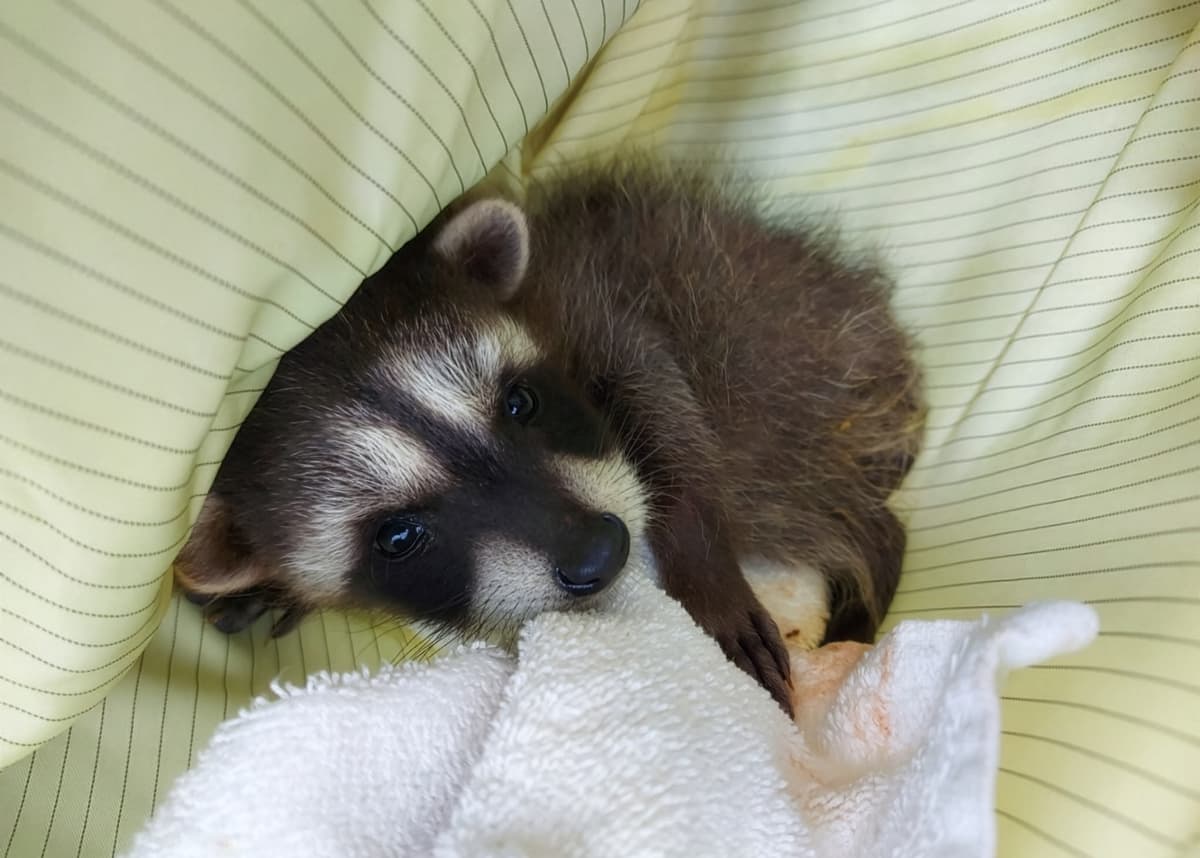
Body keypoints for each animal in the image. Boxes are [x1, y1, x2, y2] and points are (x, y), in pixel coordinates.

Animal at [176, 161, 924, 714]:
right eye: (398, 536)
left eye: (520, 402)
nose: (600, 551)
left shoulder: (585, 293)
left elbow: (659, 388)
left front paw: (699, 551)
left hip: (791, 368)